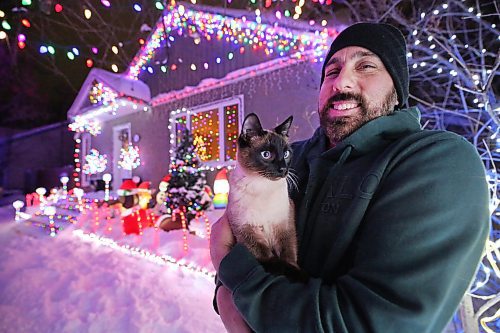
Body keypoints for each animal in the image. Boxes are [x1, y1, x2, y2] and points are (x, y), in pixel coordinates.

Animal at [228, 113, 304, 278]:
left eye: (286, 154)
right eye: (266, 155)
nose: (283, 170)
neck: (263, 187)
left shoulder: (284, 227)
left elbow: (288, 255)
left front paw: (296, 273)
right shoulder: (246, 230)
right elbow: (267, 256)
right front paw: (280, 270)